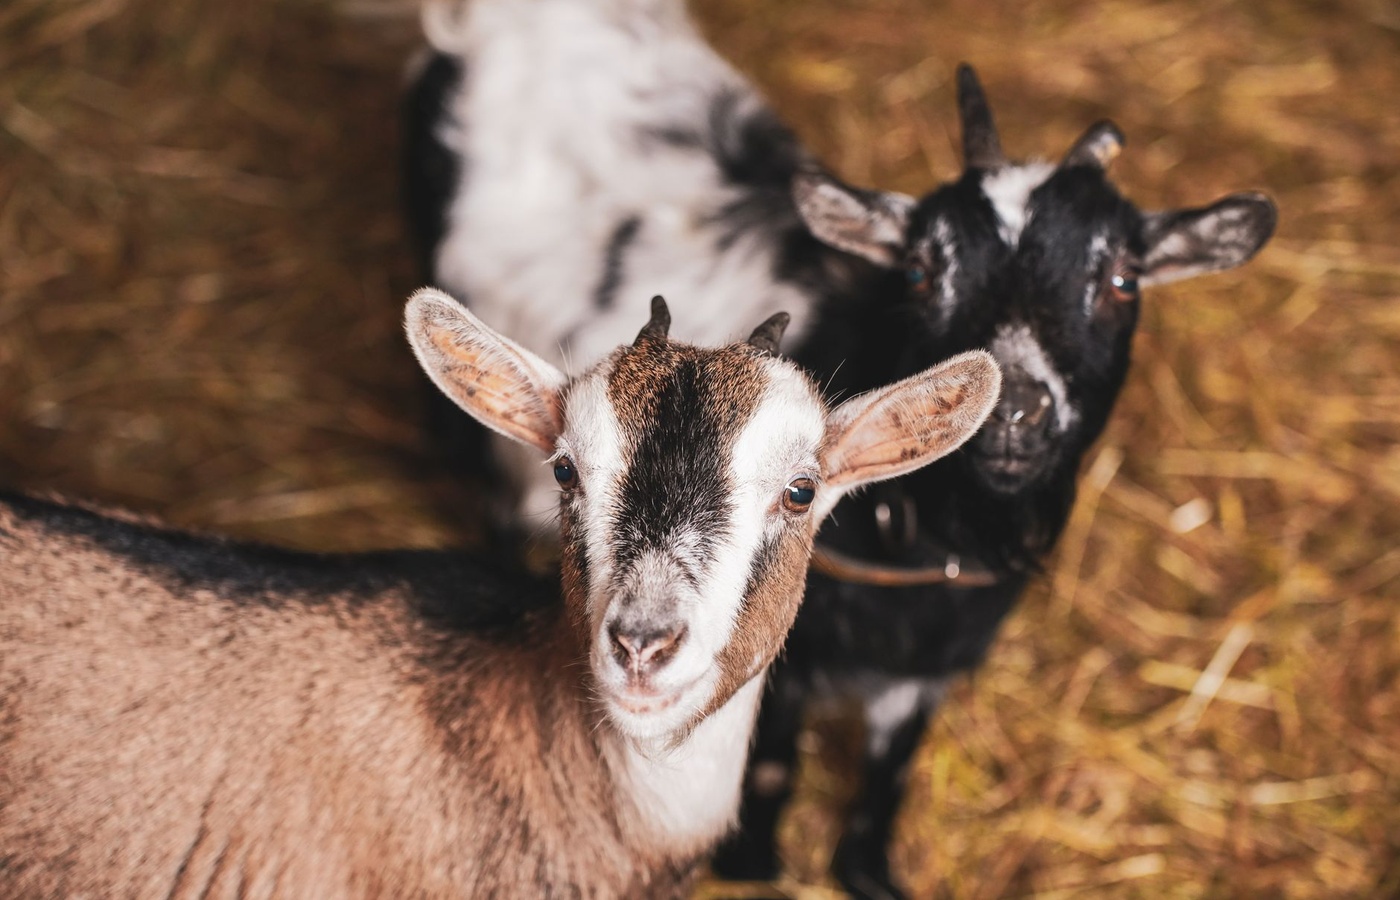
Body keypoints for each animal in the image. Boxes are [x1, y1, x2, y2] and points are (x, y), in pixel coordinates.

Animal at [402, 2, 1278, 895]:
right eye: (922, 270)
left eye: (1123, 281)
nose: (1016, 412)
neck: (934, 537)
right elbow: (772, 760)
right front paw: (754, 859)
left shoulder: (932, 660)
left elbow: (890, 767)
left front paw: (867, 868)